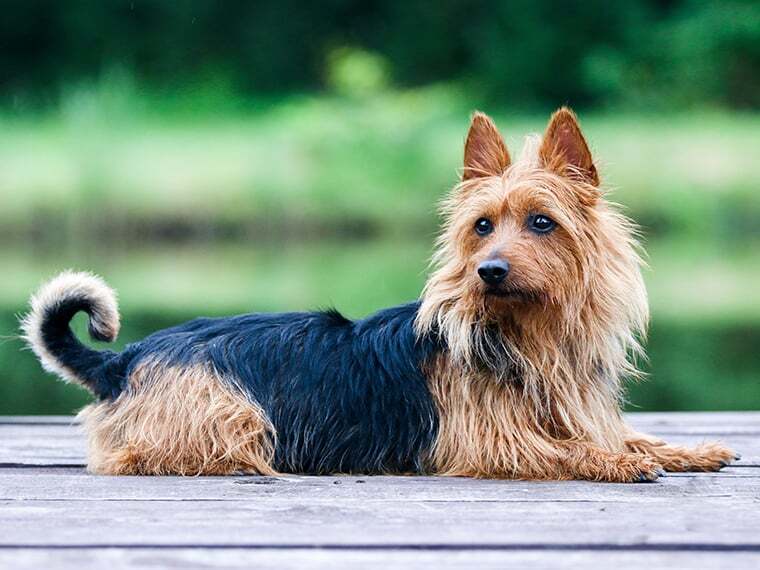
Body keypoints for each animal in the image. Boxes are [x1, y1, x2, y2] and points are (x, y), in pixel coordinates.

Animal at [20, 107, 740, 480]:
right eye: (482, 226)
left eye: (543, 222)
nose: (489, 271)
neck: (525, 335)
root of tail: (123, 358)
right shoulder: (485, 443)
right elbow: (565, 450)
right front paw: (611, 462)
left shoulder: (577, 412)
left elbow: (629, 436)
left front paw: (689, 450)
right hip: (228, 413)